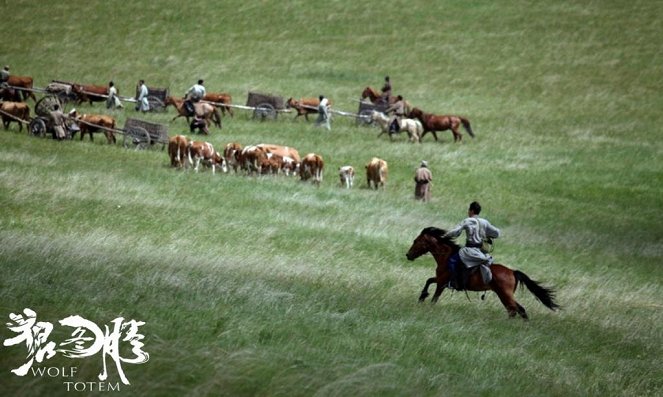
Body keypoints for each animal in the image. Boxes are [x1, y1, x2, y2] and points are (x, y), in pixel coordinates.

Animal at [404, 226, 560, 318]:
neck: (446, 256)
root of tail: (512, 272)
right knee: (517, 310)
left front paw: (425, 301)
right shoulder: (440, 280)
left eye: (416, 241)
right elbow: (429, 280)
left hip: (505, 294)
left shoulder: (442, 282)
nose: (408, 255)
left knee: (516, 309)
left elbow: (434, 296)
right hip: (504, 295)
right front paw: (422, 296)